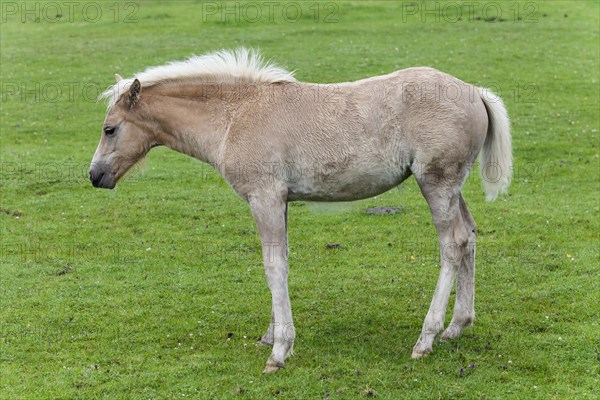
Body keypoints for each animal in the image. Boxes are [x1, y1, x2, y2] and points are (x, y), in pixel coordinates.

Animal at [89, 48, 510, 374]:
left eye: (110, 129)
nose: (95, 176)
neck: (235, 116)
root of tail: (476, 92)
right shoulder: (279, 201)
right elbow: (282, 261)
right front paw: (270, 336)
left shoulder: (264, 197)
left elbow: (273, 266)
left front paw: (279, 352)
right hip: (450, 187)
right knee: (470, 235)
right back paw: (457, 326)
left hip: (436, 183)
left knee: (452, 243)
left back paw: (427, 337)